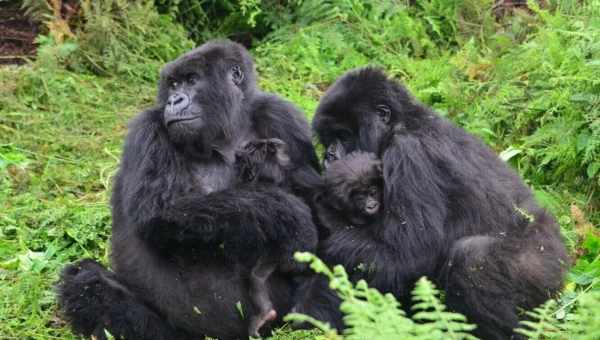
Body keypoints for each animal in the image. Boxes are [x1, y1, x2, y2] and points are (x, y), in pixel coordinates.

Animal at [56, 40, 322, 340]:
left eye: (192, 80)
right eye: (173, 85)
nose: (174, 101)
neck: (227, 131)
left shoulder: (283, 116)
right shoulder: (147, 129)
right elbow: (162, 210)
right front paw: (289, 216)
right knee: (84, 278)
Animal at [298, 67, 568, 340]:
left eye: (344, 135)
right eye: (328, 139)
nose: (329, 156)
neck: (400, 125)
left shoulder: (409, 154)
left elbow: (409, 254)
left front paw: (324, 225)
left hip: (542, 263)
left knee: (472, 257)